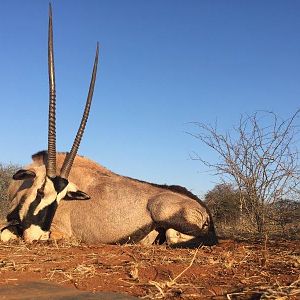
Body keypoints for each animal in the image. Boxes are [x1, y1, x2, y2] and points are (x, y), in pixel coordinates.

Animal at [0, 5, 216, 247]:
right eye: (39, 192)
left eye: (61, 199)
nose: (38, 235)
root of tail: (203, 209)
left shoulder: (61, 232)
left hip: (163, 214)